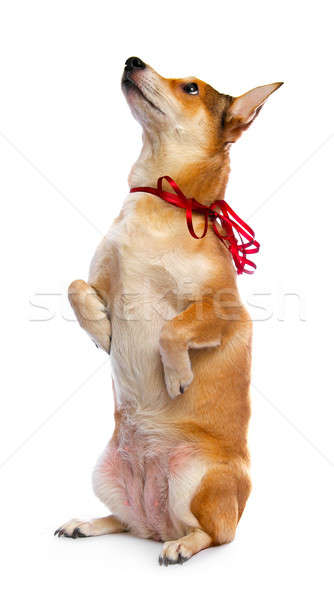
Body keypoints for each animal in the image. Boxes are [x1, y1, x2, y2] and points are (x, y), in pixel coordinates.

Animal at [55, 58, 282, 564]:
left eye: (191, 88)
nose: (132, 60)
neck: (160, 196)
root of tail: (158, 522)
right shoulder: (101, 283)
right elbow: (75, 288)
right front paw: (102, 332)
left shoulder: (225, 311)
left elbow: (172, 329)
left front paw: (176, 374)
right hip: (105, 475)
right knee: (126, 522)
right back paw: (87, 524)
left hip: (195, 478)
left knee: (215, 534)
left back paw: (181, 545)